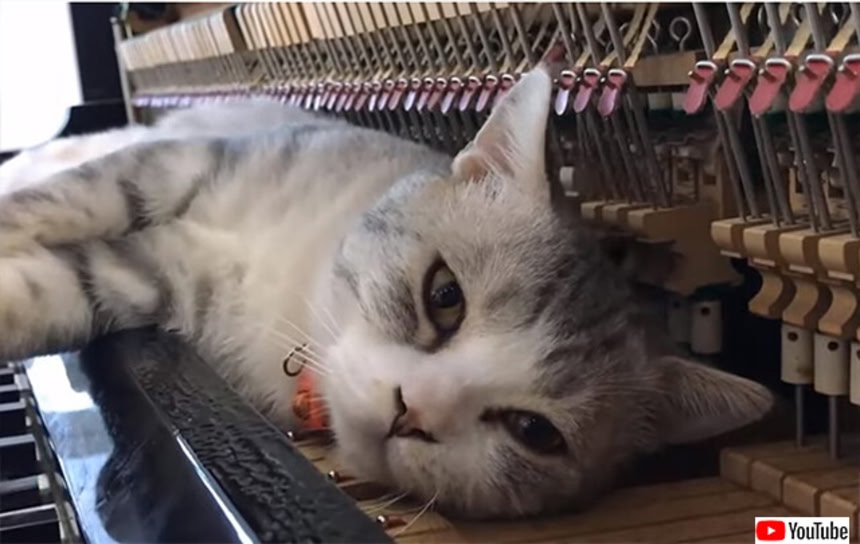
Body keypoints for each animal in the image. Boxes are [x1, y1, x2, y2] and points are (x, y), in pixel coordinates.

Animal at [0, 65, 773, 520]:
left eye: (534, 432)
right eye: (445, 297)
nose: (413, 410)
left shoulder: (151, 281)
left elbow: (51, 291)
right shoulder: (176, 167)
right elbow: (63, 201)